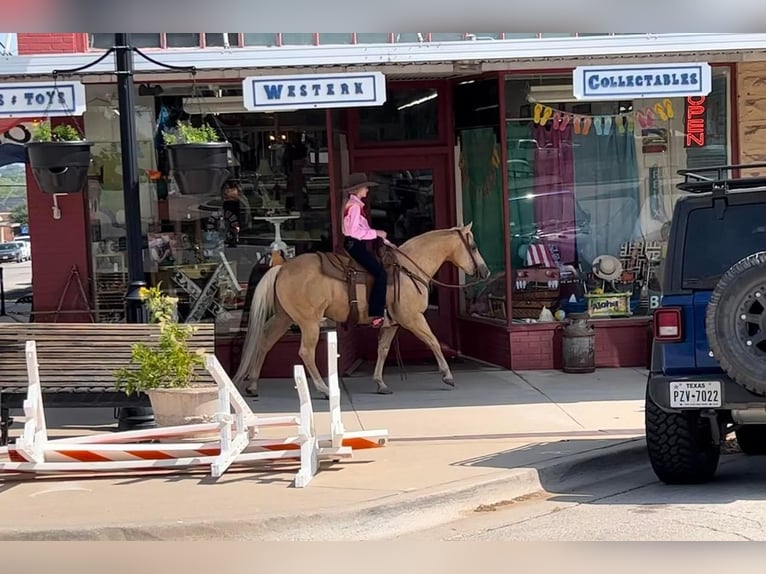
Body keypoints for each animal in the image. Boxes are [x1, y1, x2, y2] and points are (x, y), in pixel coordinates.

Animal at [231, 225, 492, 400]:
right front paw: (447, 376)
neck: (408, 269)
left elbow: (383, 350)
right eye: (474, 246)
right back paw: (324, 390)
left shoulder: (392, 324)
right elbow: (434, 342)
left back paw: (252, 385)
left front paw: (380, 383)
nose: (485, 271)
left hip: (284, 318)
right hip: (309, 322)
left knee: (264, 341)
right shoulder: (413, 319)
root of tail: (282, 268)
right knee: (305, 352)